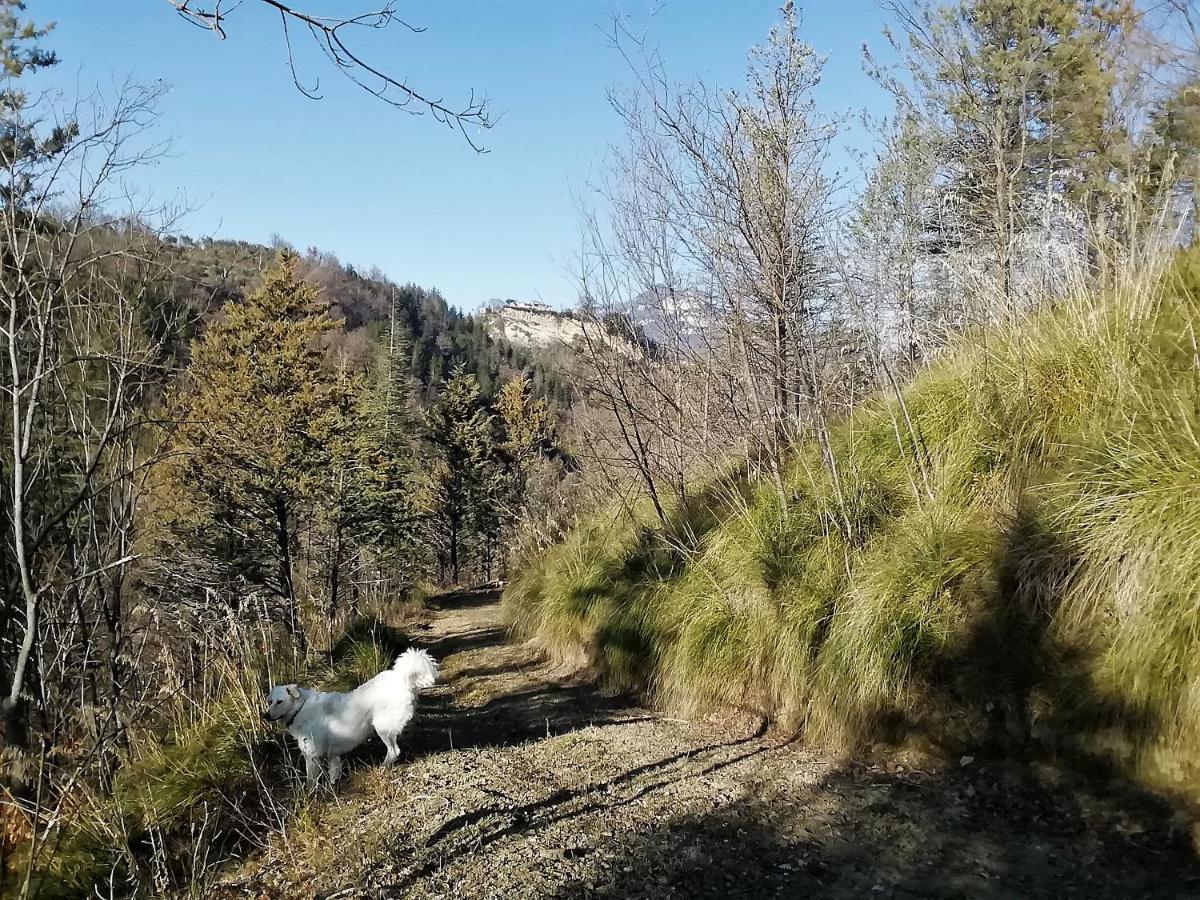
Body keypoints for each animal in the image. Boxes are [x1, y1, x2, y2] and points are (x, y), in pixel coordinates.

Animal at [265, 648, 439, 787]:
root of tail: (402, 677)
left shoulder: (312, 755)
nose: (265, 715)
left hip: (382, 727)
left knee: (394, 751)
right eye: (269, 701)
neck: (300, 708)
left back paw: (382, 767)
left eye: (279, 701)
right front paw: (333, 786)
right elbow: (333, 772)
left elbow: (311, 780)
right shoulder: (333, 755)